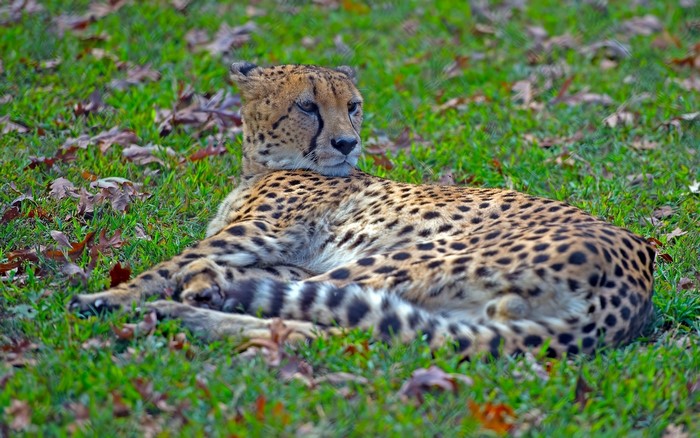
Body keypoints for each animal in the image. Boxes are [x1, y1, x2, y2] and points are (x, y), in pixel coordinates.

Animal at [69, 62, 656, 358]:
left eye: (351, 105)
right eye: (308, 106)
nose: (348, 143)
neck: (262, 164)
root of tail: (638, 278)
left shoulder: (255, 233)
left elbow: (172, 263)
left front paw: (109, 294)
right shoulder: (286, 254)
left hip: (405, 255)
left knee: (315, 322)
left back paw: (176, 311)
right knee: (350, 329)